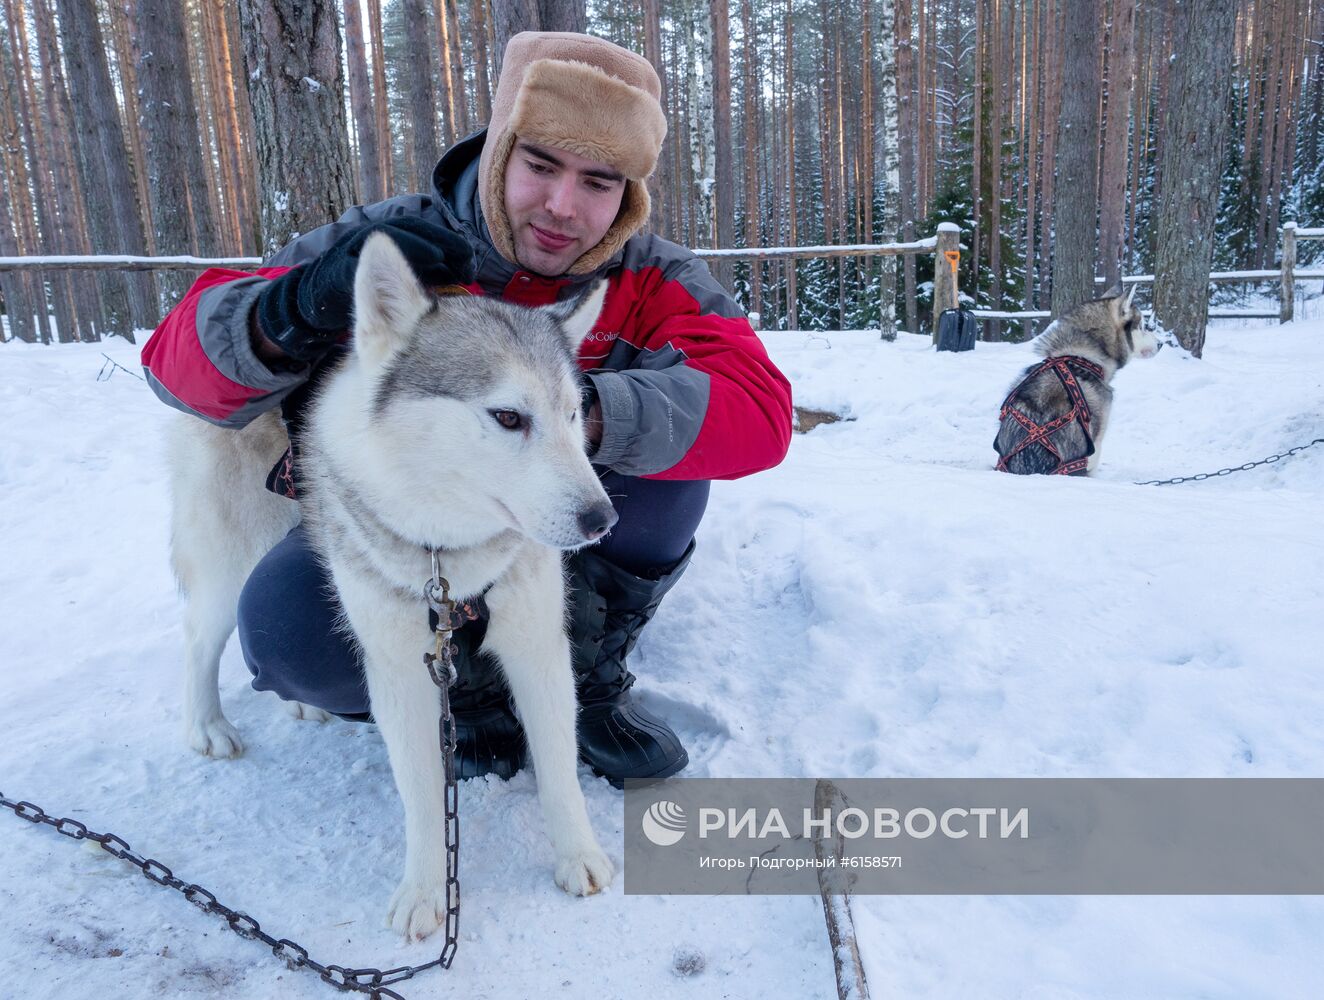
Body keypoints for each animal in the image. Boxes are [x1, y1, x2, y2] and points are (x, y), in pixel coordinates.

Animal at [166, 234, 619, 937]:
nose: (602, 520)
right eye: (508, 416)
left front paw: (579, 856)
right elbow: (424, 794)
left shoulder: (538, 647)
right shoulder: (401, 669)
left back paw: (302, 706)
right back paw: (207, 725)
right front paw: (426, 892)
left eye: (576, 414)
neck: (449, 556)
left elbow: (559, 767)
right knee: (201, 635)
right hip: (232, 562)